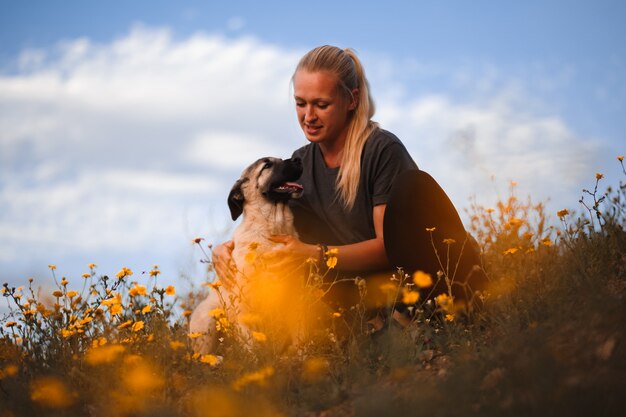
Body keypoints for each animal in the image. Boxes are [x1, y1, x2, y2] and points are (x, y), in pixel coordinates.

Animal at [188, 158, 302, 352]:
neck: (273, 227)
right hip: (208, 319)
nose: (298, 159)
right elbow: (252, 346)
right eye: (267, 165)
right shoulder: (245, 309)